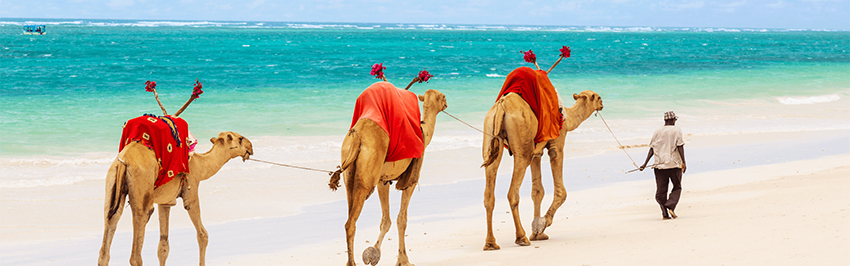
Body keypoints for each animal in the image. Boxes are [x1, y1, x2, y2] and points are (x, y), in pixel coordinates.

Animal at [97, 131, 252, 266]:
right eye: (240, 138)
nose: (250, 147)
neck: (200, 165)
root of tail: (124, 160)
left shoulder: (165, 202)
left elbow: (163, 246)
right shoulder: (191, 189)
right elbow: (202, 234)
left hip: (113, 181)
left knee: (109, 225)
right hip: (141, 185)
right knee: (137, 243)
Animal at [328, 85, 448, 266]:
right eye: (442, 97)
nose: (447, 102)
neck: (423, 133)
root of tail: (357, 136)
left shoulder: (382, 181)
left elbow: (386, 220)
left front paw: (373, 253)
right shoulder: (410, 181)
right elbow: (401, 220)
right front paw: (403, 260)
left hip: (349, 172)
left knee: (350, 216)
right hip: (366, 176)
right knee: (350, 223)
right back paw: (352, 263)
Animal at [476, 89, 604, 249]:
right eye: (598, 97)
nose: (602, 104)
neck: (568, 117)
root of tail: (502, 106)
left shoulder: (536, 153)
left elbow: (537, 191)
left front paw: (537, 233)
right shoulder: (557, 142)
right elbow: (561, 191)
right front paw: (542, 224)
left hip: (490, 135)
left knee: (489, 193)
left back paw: (491, 244)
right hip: (522, 146)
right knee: (513, 192)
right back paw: (522, 238)